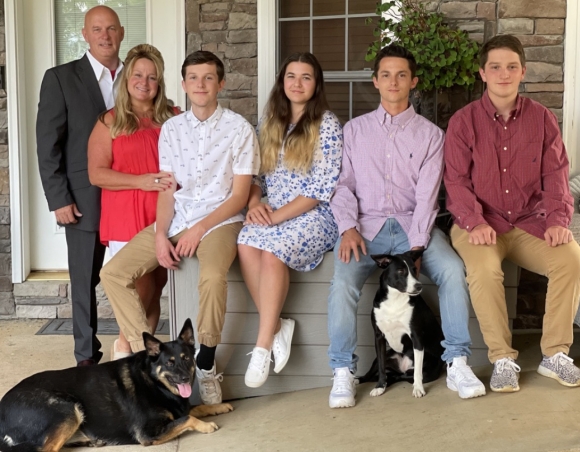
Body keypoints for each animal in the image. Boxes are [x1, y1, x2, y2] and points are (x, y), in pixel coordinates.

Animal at [0, 320, 231, 450]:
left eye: (187, 359)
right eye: (169, 363)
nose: (184, 379)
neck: (154, 383)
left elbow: (195, 408)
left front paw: (218, 406)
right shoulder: (148, 434)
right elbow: (187, 418)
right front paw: (207, 425)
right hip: (67, 409)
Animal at [358, 251, 444, 400]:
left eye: (414, 270)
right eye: (400, 271)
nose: (419, 286)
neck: (395, 299)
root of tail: (403, 367)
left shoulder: (416, 337)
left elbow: (417, 373)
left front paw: (418, 389)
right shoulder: (378, 337)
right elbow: (381, 367)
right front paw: (379, 386)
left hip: (428, 369)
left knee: (402, 376)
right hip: (386, 355)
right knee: (376, 374)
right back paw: (359, 380)